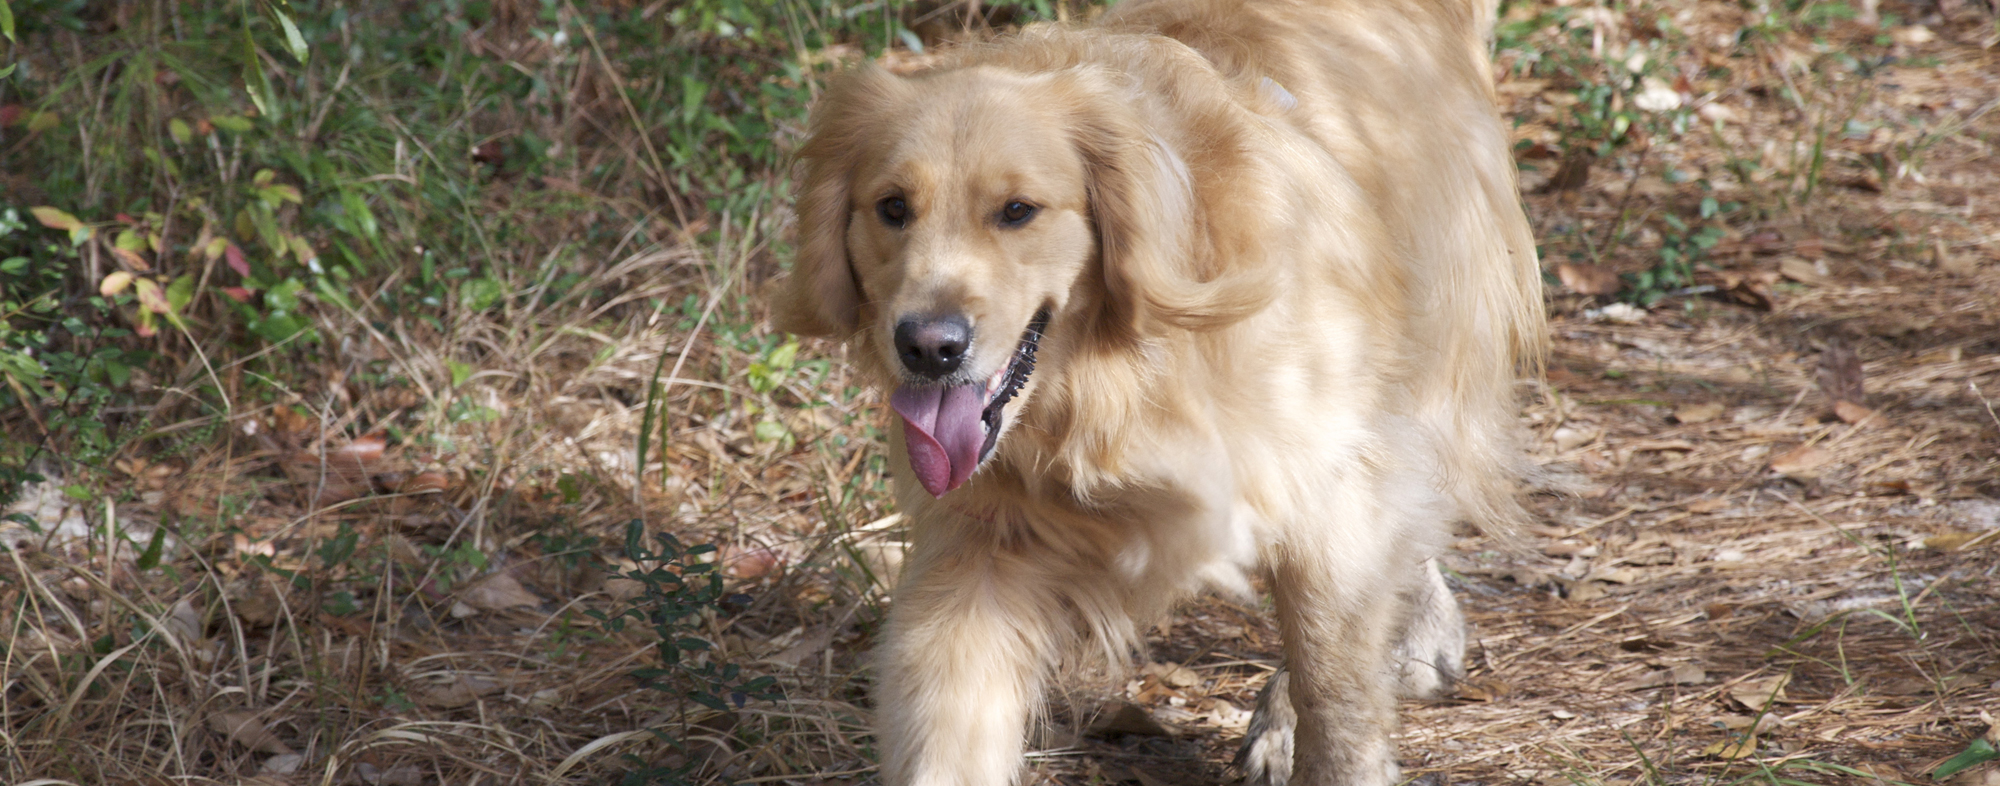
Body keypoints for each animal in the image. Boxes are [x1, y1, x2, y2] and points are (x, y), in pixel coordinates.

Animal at [768, 0, 1544, 780]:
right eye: (893, 208)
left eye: (1017, 211)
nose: (929, 347)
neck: (1117, 381)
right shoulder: (979, 553)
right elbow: (945, 724)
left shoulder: (1329, 489)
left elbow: (1334, 683)